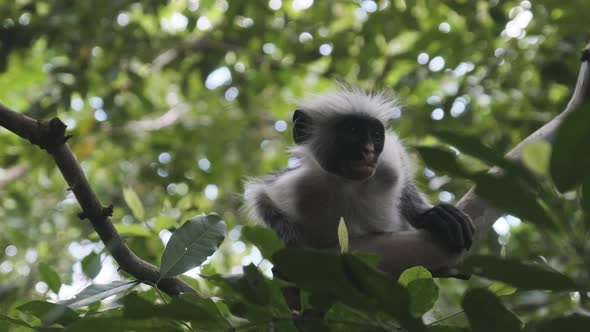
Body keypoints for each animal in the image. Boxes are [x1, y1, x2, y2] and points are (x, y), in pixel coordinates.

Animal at [245, 87, 476, 253]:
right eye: (353, 131)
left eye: (376, 135)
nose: (369, 150)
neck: (347, 183)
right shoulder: (300, 186)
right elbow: (261, 197)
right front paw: (295, 244)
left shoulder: (387, 164)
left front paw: (428, 215)